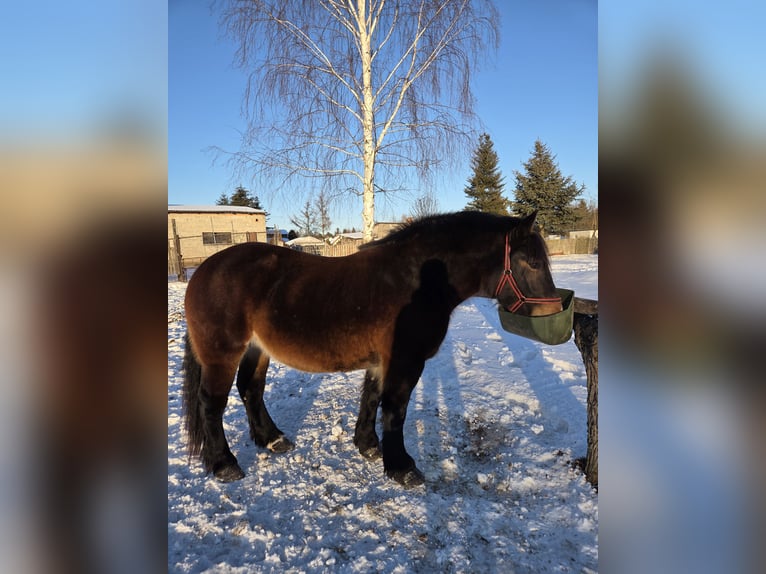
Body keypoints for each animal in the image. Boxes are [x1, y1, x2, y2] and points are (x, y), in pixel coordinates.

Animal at [182, 211, 561, 487]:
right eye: (533, 263)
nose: (555, 310)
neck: (418, 279)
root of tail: (201, 272)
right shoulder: (405, 361)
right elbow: (395, 409)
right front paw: (402, 467)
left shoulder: (383, 361)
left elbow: (372, 398)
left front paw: (368, 446)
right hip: (222, 354)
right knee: (211, 404)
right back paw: (224, 465)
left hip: (256, 350)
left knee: (251, 389)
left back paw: (272, 440)